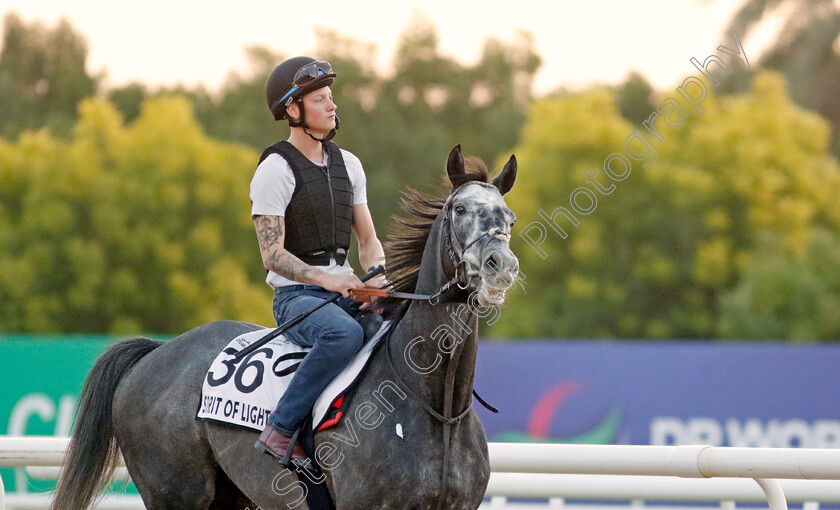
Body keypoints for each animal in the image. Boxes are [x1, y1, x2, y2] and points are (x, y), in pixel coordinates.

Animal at [50, 144, 520, 510]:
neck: (435, 404)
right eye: (459, 208)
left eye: (509, 218)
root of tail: (154, 352)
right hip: (174, 493)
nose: (501, 266)